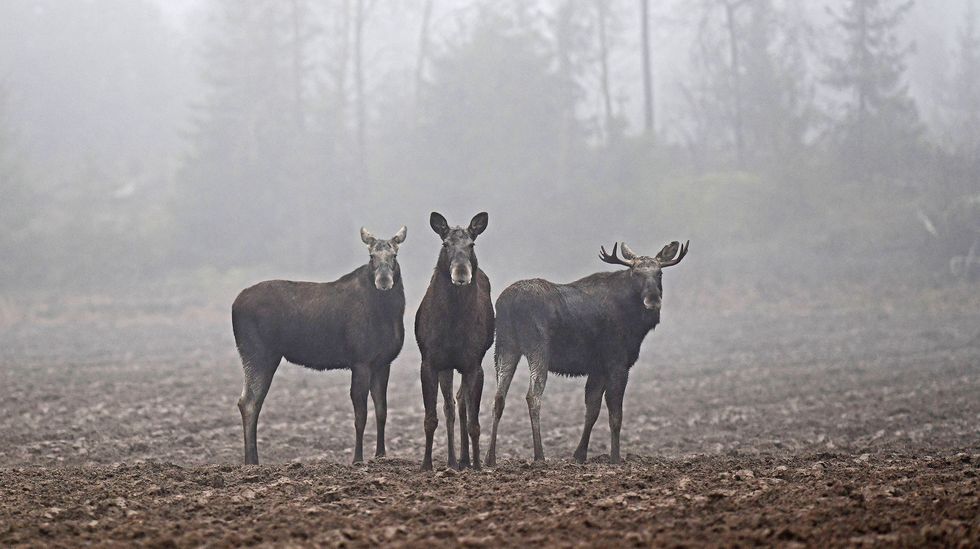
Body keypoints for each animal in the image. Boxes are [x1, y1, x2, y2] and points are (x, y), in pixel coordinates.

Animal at [232, 226, 408, 462]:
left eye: (394, 255)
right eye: (371, 256)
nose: (384, 281)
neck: (390, 315)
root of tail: (234, 305)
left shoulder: (383, 362)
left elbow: (382, 410)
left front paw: (381, 455)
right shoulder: (360, 361)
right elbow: (360, 415)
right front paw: (357, 459)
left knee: (249, 401)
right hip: (258, 353)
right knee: (249, 402)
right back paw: (252, 461)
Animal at [416, 212, 494, 468]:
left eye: (471, 245)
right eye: (445, 244)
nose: (461, 274)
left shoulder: (474, 364)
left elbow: (474, 422)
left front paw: (478, 465)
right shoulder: (430, 362)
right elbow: (431, 417)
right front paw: (426, 464)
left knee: (461, 403)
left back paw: (465, 460)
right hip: (447, 366)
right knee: (450, 405)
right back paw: (452, 460)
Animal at [484, 239, 688, 462]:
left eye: (659, 273)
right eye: (636, 273)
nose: (653, 299)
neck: (636, 324)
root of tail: (507, 303)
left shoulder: (597, 368)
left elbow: (592, 409)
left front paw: (579, 455)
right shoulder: (617, 363)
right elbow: (615, 414)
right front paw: (615, 457)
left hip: (505, 346)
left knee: (498, 397)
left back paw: (490, 457)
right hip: (537, 348)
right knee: (533, 396)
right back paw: (539, 455)